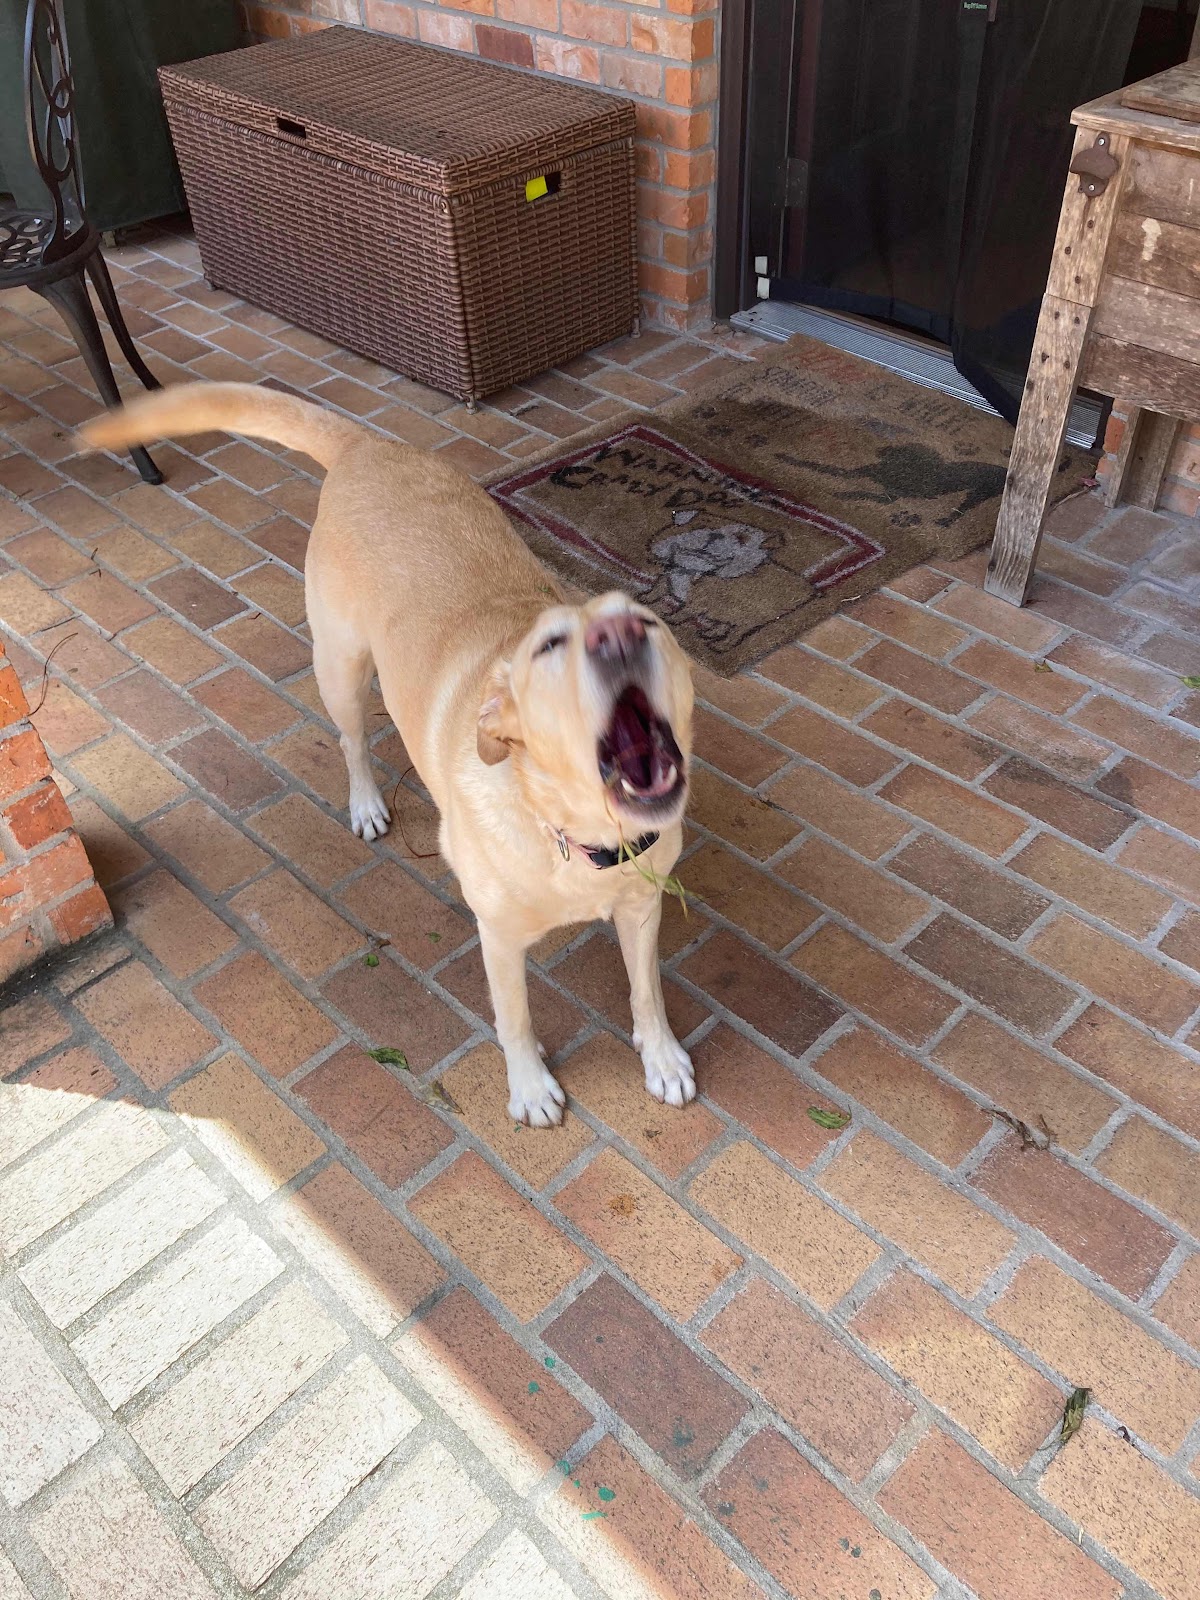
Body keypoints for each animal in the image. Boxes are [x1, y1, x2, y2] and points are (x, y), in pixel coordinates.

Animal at [82, 383, 695, 1127]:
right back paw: (368, 803)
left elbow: (647, 992)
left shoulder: (643, 908)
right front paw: (529, 1086)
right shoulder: (498, 938)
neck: (575, 834)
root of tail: (366, 445)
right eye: (550, 647)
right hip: (341, 667)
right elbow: (514, 1018)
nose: (618, 634)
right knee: (351, 740)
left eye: (649, 622)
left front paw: (661, 1058)